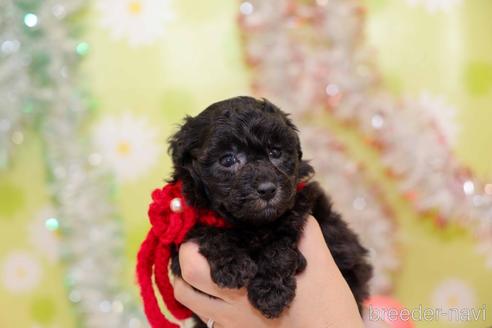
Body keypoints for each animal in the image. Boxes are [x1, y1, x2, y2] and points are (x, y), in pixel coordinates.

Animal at [170, 96, 372, 326]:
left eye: (275, 152)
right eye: (228, 159)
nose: (267, 189)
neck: (251, 225)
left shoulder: (302, 206)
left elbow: (279, 246)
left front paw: (271, 293)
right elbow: (208, 232)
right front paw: (233, 265)